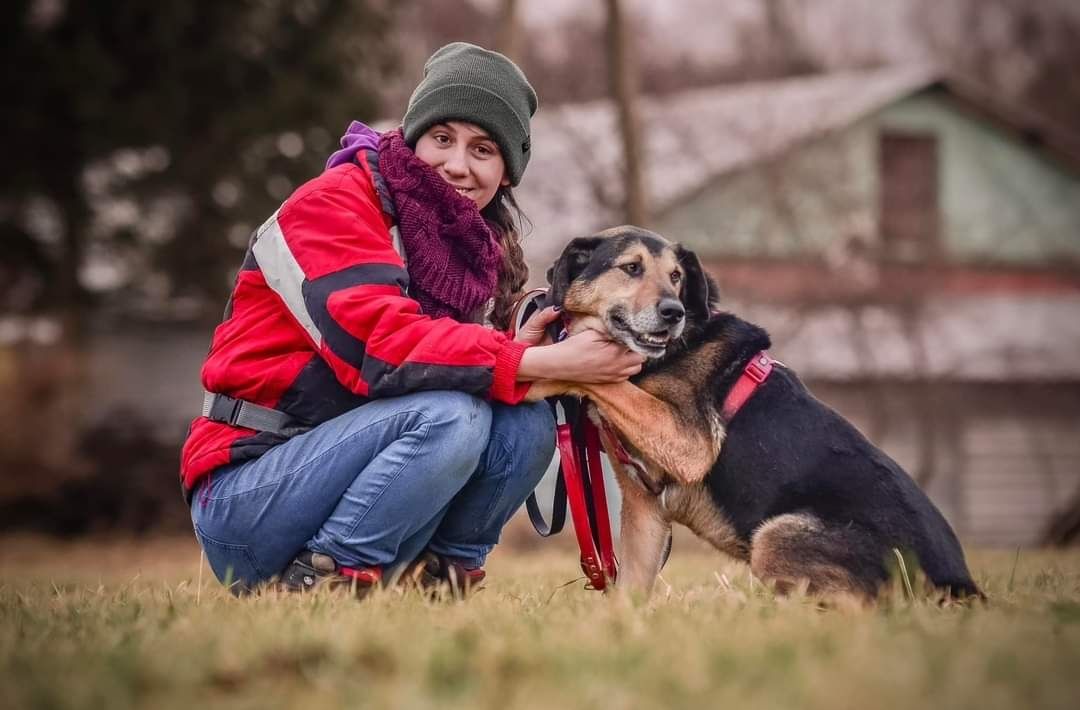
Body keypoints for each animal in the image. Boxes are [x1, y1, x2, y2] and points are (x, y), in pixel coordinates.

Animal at [527, 225, 984, 596]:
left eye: (676, 277)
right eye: (631, 268)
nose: (674, 312)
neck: (667, 354)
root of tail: (961, 588)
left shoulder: (688, 441)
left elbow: (606, 380)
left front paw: (539, 365)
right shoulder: (644, 508)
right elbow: (629, 591)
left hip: (776, 534)